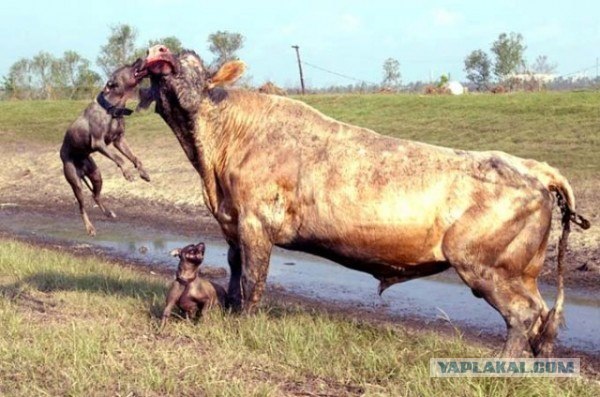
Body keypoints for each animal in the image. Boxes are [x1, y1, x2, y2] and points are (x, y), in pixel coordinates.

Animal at [59, 58, 151, 235]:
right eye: (128, 66)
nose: (140, 58)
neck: (111, 107)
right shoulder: (99, 143)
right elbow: (120, 158)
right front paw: (128, 174)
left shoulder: (119, 140)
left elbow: (134, 157)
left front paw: (143, 172)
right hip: (76, 183)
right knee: (82, 207)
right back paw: (89, 228)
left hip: (96, 175)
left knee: (95, 196)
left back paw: (108, 213)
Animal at [134, 44, 588, 358]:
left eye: (190, 62)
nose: (159, 52)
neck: (215, 154)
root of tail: (530, 166)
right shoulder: (231, 223)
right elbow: (232, 271)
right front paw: (227, 312)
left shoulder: (255, 223)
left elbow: (251, 279)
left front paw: (242, 324)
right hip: (521, 270)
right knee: (543, 315)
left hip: (486, 265)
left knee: (523, 314)